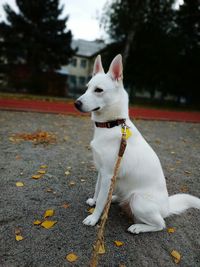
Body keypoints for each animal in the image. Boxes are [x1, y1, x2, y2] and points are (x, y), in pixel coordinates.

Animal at [74, 55, 200, 234]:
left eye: (98, 90)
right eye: (87, 88)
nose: (76, 103)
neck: (112, 124)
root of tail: (167, 207)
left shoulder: (108, 175)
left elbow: (101, 202)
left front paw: (94, 218)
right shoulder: (101, 172)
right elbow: (98, 190)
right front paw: (94, 200)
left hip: (137, 199)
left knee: (160, 224)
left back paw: (137, 227)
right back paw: (114, 198)